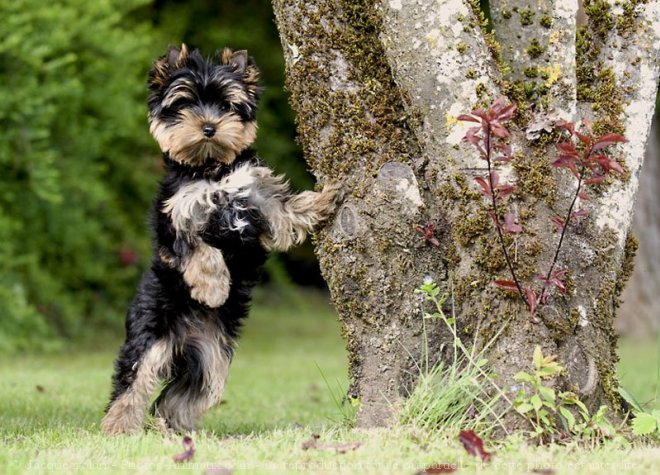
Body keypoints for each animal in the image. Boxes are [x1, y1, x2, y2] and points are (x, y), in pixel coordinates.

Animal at [102, 44, 346, 436]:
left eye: (227, 105)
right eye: (184, 103)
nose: (209, 127)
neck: (211, 169)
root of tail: (183, 338)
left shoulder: (257, 198)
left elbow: (286, 210)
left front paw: (324, 199)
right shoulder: (176, 214)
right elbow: (198, 248)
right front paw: (214, 288)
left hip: (209, 355)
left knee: (186, 391)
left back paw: (171, 427)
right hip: (152, 330)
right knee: (134, 378)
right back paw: (119, 425)